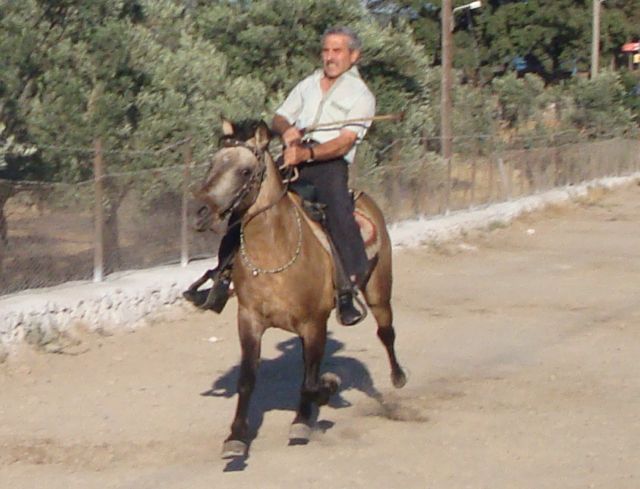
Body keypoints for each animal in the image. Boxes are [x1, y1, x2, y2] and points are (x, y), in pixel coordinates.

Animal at [195, 119, 404, 458]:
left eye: (244, 171)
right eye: (213, 164)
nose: (201, 211)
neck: (274, 250)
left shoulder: (314, 323)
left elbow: (310, 380)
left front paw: (308, 414)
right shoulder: (249, 320)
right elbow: (247, 380)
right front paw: (236, 437)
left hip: (378, 289)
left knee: (385, 331)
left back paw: (398, 378)